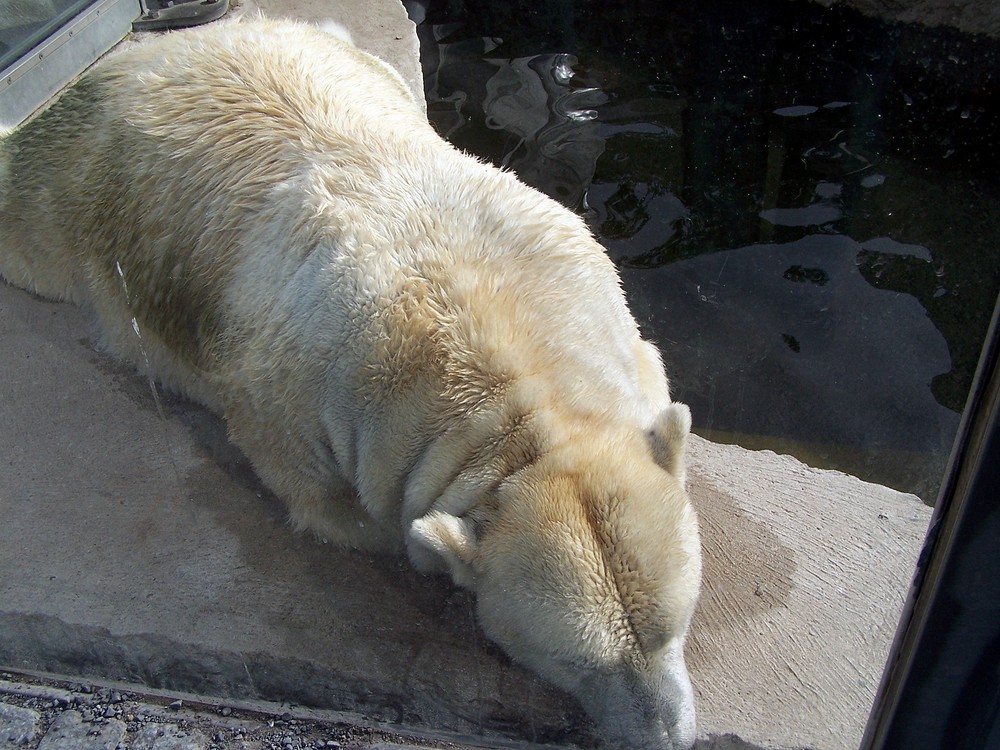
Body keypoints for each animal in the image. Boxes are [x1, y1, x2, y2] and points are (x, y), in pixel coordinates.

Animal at [0, 19, 704, 750]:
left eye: (673, 627)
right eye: (577, 663)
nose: (669, 736)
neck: (517, 390)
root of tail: (146, 51)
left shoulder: (594, 295)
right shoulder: (299, 406)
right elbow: (344, 509)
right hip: (61, 199)